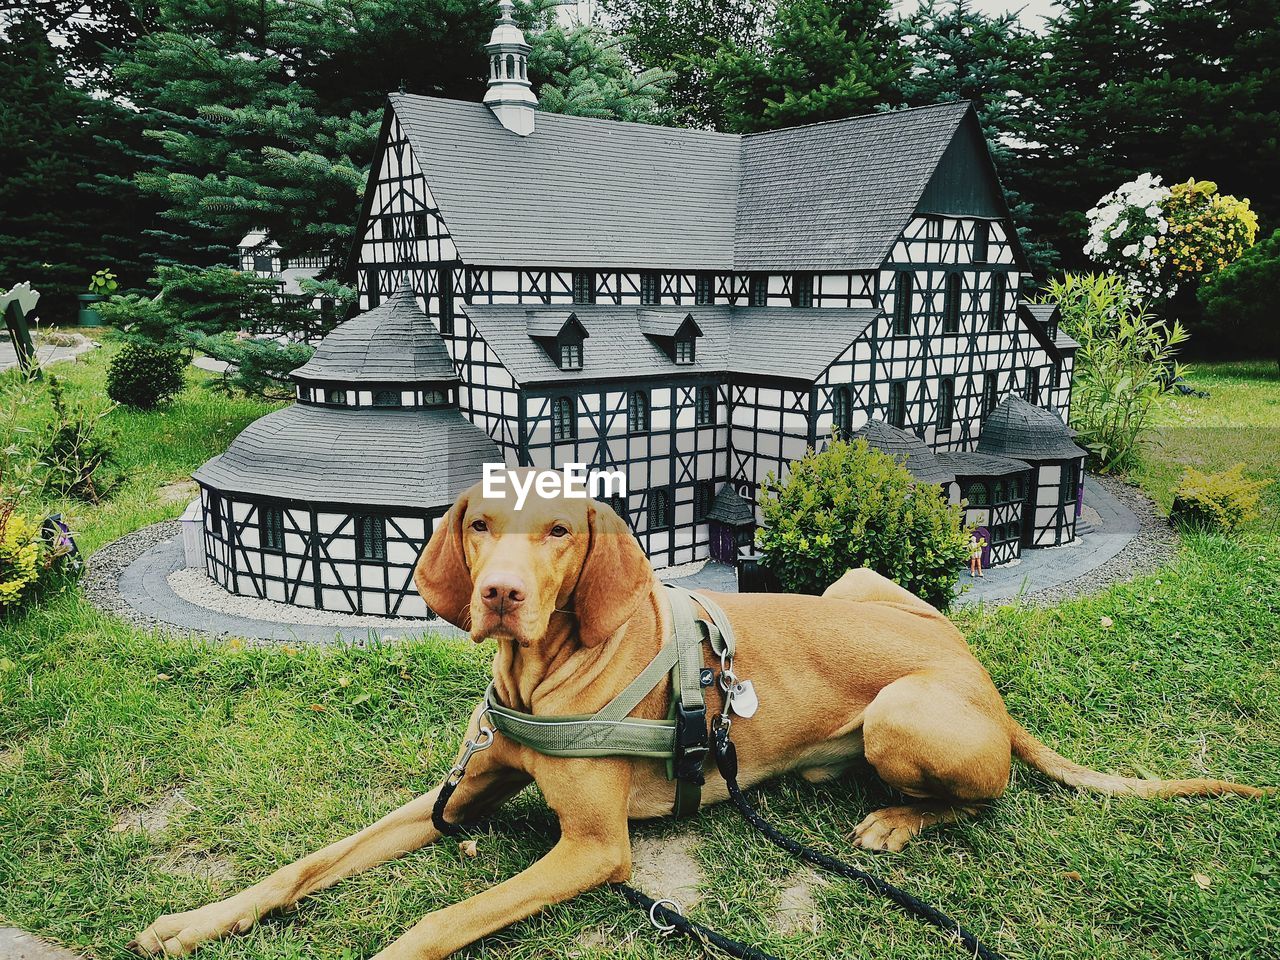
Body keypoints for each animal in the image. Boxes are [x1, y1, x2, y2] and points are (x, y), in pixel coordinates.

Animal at [132, 481, 1269, 960]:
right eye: (481, 525)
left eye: (557, 533)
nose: (499, 594)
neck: (543, 676)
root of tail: (974, 666)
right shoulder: (456, 790)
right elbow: (304, 864)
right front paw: (198, 921)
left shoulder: (594, 850)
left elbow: (437, 921)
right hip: (861, 585)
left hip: (904, 707)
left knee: (984, 797)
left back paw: (897, 820)